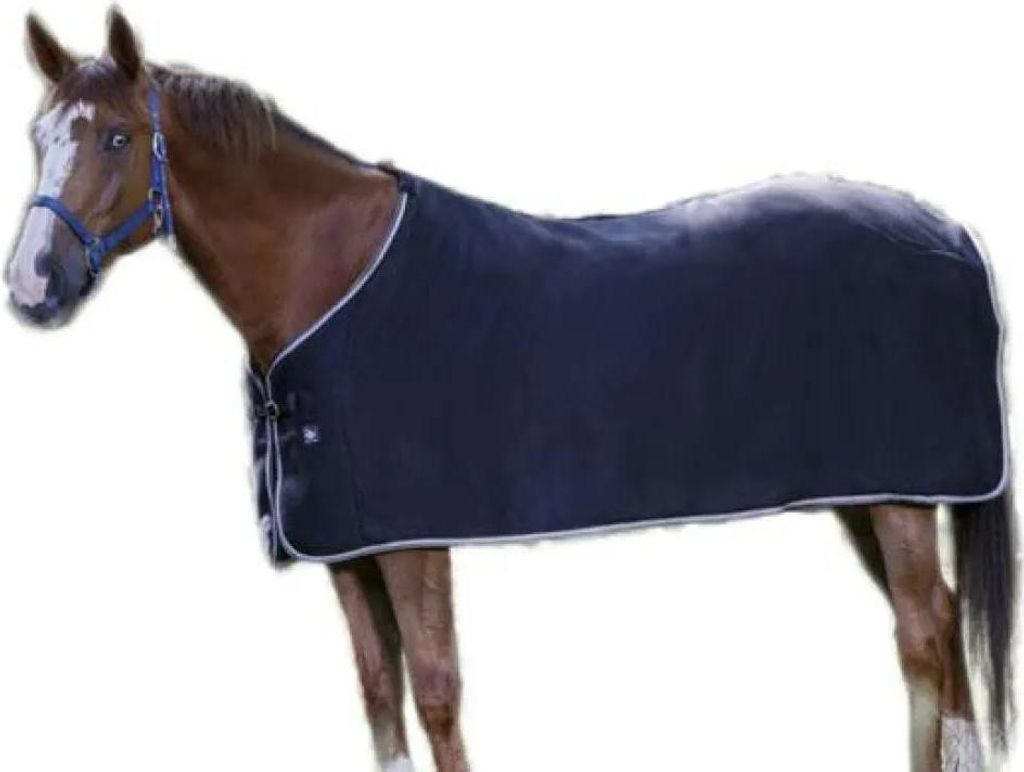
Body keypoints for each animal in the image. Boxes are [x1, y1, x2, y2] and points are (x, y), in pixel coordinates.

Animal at [5, 10, 1016, 772]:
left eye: (119, 137)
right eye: (38, 137)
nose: (32, 286)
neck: (329, 280)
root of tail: (952, 235)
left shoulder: (413, 545)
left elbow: (436, 693)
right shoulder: (347, 552)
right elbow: (380, 696)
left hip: (899, 497)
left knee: (926, 634)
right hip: (869, 497)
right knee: (933, 640)